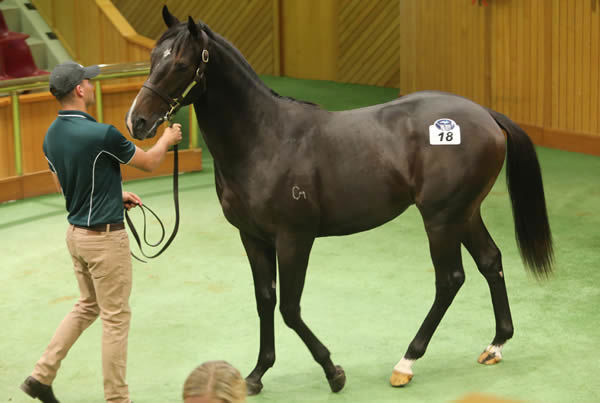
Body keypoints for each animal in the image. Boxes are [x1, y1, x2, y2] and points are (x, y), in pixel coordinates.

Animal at [126, 7, 552, 396]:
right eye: (152, 59)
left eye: (181, 64)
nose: (137, 122)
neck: (265, 139)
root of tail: (485, 115)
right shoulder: (253, 237)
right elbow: (265, 300)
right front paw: (257, 374)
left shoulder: (294, 239)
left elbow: (290, 308)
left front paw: (333, 372)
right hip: (464, 213)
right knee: (490, 261)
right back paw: (495, 345)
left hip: (441, 218)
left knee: (450, 279)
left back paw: (406, 363)